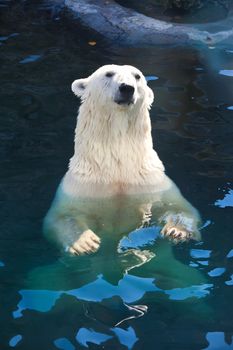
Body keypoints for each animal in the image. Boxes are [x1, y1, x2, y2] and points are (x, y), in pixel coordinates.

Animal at [44, 64, 201, 254]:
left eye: (137, 76)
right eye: (108, 73)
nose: (127, 88)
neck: (118, 170)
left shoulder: (152, 183)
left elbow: (179, 207)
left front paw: (176, 230)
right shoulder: (80, 187)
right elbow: (62, 216)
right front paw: (84, 242)